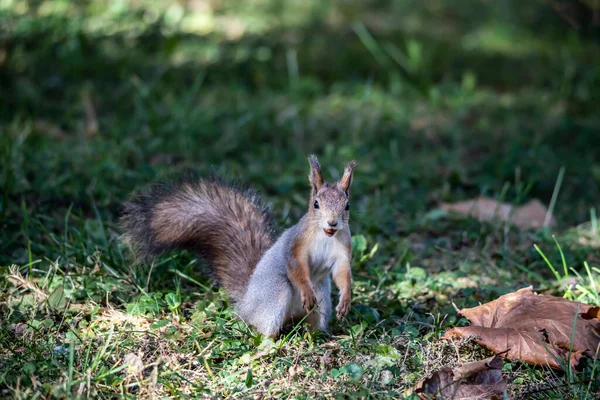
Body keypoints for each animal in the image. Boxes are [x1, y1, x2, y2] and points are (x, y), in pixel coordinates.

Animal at [121, 156, 356, 338]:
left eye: (347, 205)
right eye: (316, 204)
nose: (332, 223)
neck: (326, 237)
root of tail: (246, 303)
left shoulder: (343, 250)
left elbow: (342, 272)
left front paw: (345, 299)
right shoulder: (296, 244)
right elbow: (295, 266)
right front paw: (306, 292)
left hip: (322, 298)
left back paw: (318, 336)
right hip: (276, 292)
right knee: (264, 329)